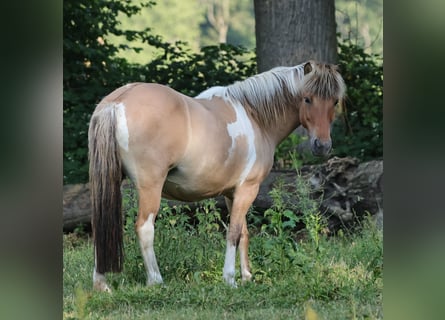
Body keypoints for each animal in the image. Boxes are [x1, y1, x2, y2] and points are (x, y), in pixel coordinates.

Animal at [88, 58, 346, 292]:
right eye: (307, 98)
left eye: (334, 101)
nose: (322, 146)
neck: (255, 116)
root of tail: (117, 102)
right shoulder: (247, 189)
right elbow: (233, 233)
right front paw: (230, 279)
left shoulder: (233, 194)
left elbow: (243, 233)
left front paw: (247, 276)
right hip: (150, 188)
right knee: (145, 228)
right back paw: (156, 280)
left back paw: (102, 284)